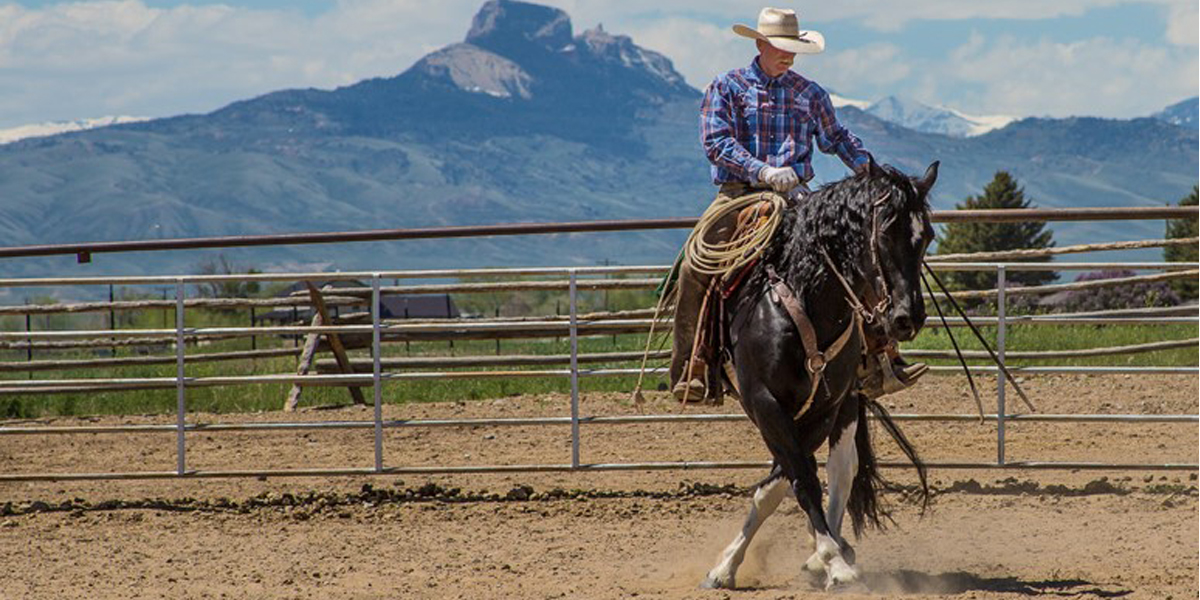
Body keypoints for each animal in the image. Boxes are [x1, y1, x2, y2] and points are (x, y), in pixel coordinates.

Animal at [700, 159, 940, 590]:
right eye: (884, 231)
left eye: (925, 235)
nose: (907, 318)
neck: (806, 304)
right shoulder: (765, 403)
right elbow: (795, 477)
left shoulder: (827, 406)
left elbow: (792, 477)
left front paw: (827, 556)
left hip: (847, 402)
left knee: (842, 468)